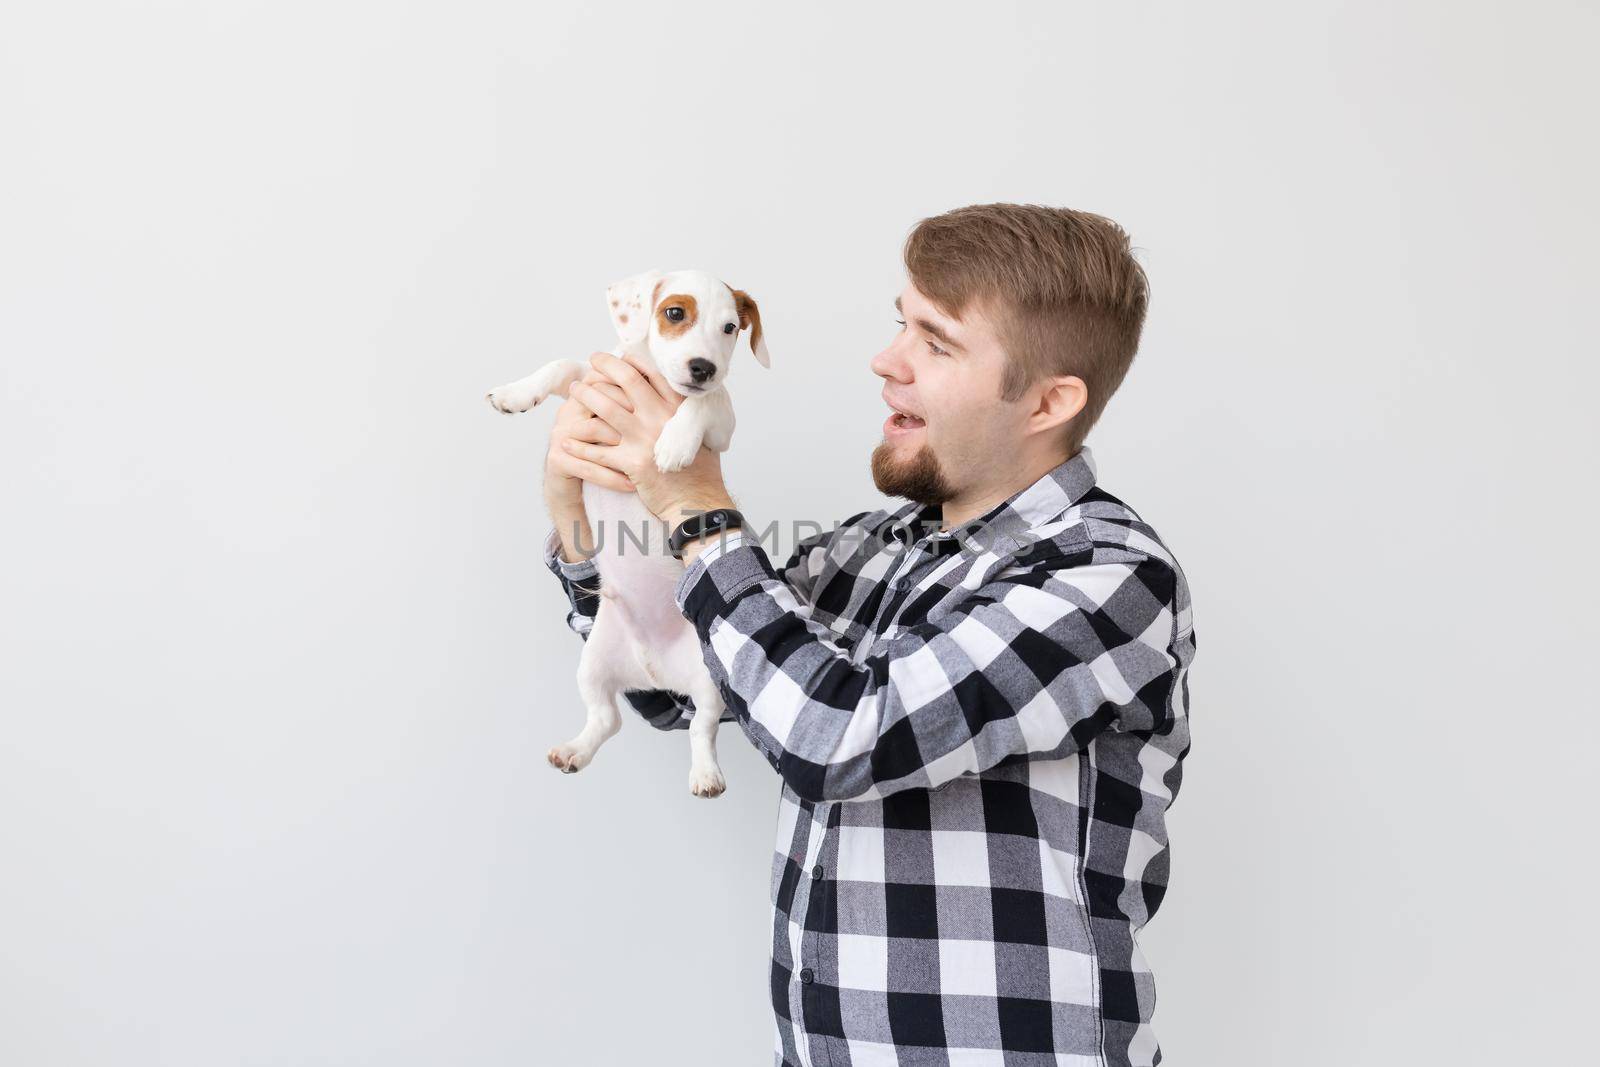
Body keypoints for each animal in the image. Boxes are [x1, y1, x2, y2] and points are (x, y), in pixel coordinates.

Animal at [480, 271, 768, 796]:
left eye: (731, 328)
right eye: (675, 313)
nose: (704, 368)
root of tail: (654, 670)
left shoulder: (721, 428)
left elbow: (706, 402)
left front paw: (674, 443)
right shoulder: (592, 385)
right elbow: (563, 365)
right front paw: (514, 394)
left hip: (710, 675)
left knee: (702, 727)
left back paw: (706, 774)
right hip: (594, 661)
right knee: (606, 719)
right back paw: (575, 750)